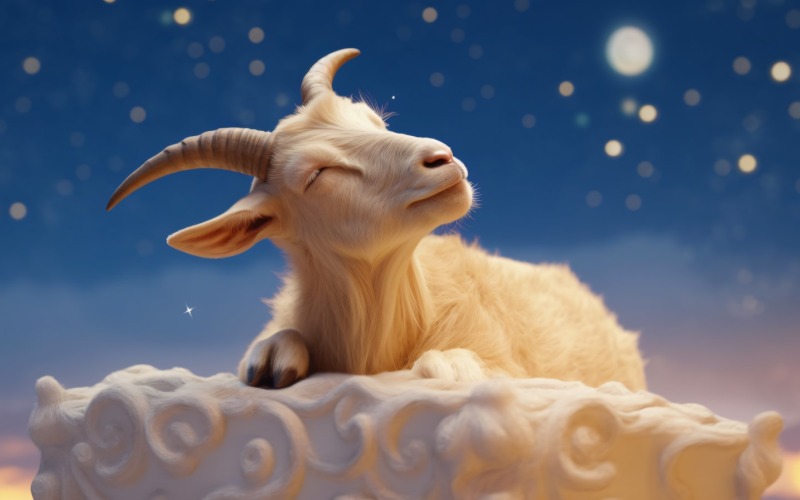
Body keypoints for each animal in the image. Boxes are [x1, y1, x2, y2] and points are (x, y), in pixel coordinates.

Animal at [107, 49, 646, 391]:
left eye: (377, 123)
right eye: (319, 174)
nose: (442, 158)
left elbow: (469, 364)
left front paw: (450, 364)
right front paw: (273, 357)